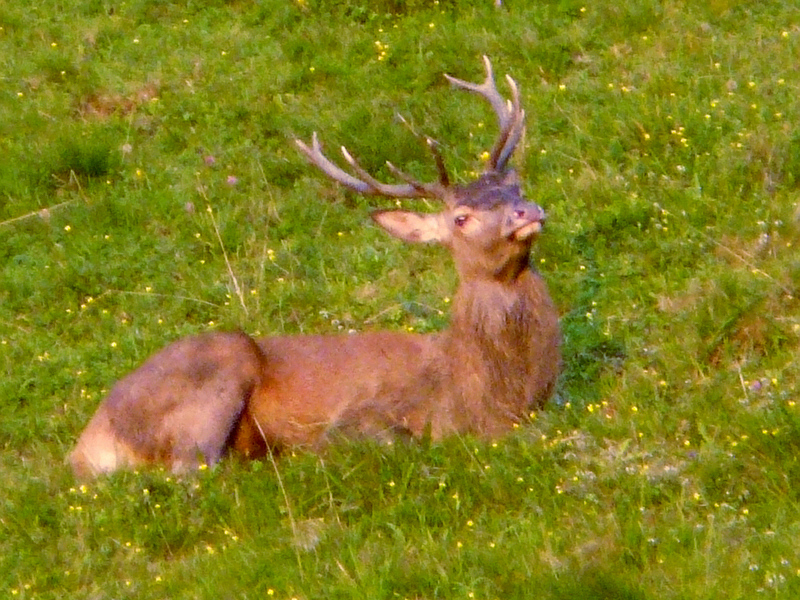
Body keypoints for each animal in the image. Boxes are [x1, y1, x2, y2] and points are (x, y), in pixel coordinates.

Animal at [69, 55, 560, 478]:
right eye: (461, 218)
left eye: (515, 187)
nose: (527, 211)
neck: (481, 397)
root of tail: (86, 444)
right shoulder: (361, 412)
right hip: (220, 366)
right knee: (192, 467)